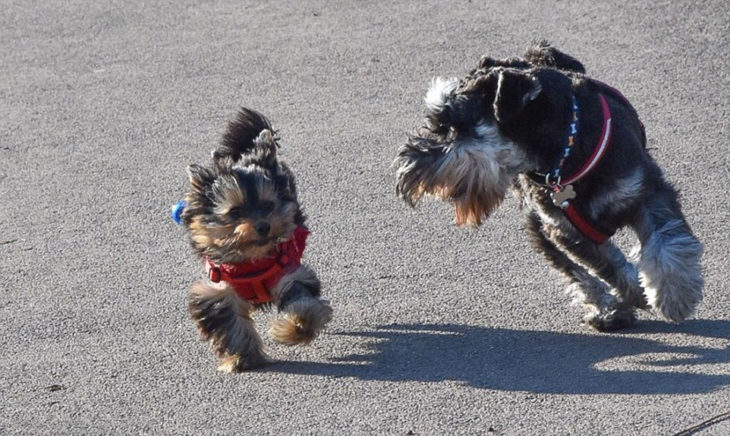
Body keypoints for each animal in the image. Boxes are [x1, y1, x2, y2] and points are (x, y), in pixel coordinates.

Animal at [396, 43, 704, 330]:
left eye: (454, 126)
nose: (407, 163)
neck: (565, 152)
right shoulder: (564, 230)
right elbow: (603, 265)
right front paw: (635, 292)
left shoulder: (646, 193)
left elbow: (666, 242)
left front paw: (675, 297)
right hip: (537, 222)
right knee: (573, 270)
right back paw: (607, 309)